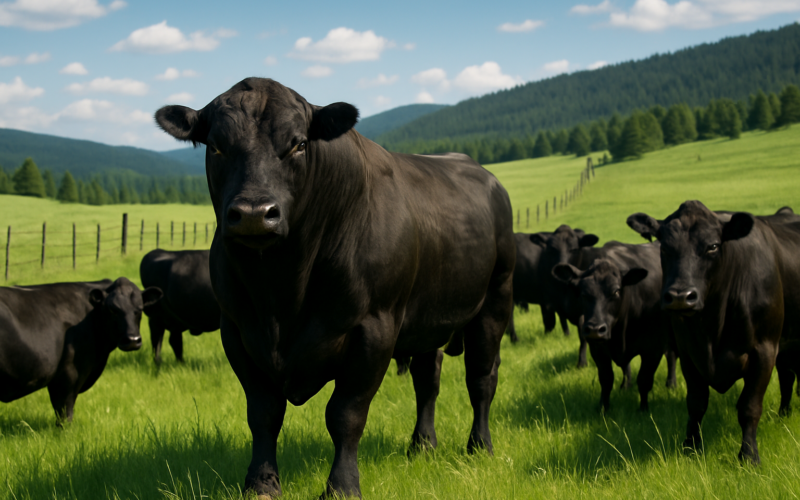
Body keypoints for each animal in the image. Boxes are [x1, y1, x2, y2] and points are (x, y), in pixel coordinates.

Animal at [155, 77, 515, 499]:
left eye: (298, 144)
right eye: (216, 146)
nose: (255, 214)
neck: (280, 291)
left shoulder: (373, 329)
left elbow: (345, 414)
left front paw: (342, 487)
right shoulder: (238, 330)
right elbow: (263, 412)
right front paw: (261, 483)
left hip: (495, 300)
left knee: (481, 378)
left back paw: (479, 446)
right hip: (429, 318)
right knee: (428, 379)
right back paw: (422, 445)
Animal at [552, 242, 677, 412]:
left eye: (616, 291)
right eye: (583, 293)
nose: (595, 329)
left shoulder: (653, 348)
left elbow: (644, 379)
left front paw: (643, 409)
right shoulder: (598, 349)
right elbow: (606, 379)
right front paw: (603, 408)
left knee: (671, 356)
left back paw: (671, 383)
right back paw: (626, 386)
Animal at [627, 201, 800, 464]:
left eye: (713, 246)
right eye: (664, 246)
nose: (680, 297)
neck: (712, 326)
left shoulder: (765, 349)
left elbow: (749, 406)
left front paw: (749, 455)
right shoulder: (689, 352)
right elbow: (696, 402)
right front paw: (690, 446)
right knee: (788, 376)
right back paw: (784, 413)